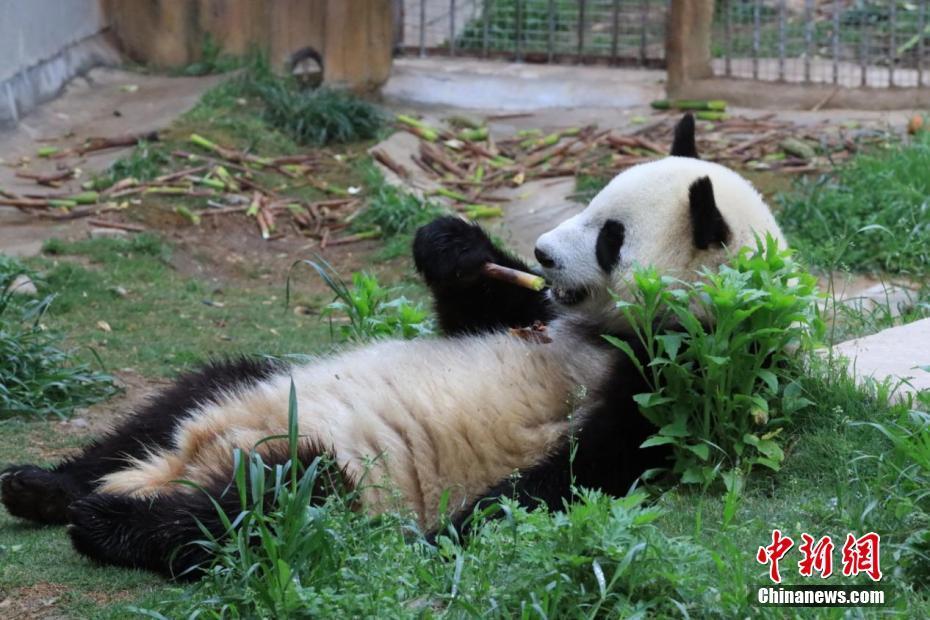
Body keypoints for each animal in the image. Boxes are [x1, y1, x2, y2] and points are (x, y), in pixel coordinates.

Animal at [0, 114, 784, 580]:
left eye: (611, 237)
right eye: (593, 206)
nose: (542, 252)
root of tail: (178, 468)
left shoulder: (691, 375)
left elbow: (589, 466)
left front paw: (446, 538)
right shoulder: (536, 316)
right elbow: (479, 310)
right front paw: (453, 246)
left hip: (332, 472)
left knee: (269, 506)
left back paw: (108, 523)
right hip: (249, 388)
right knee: (170, 407)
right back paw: (44, 486)